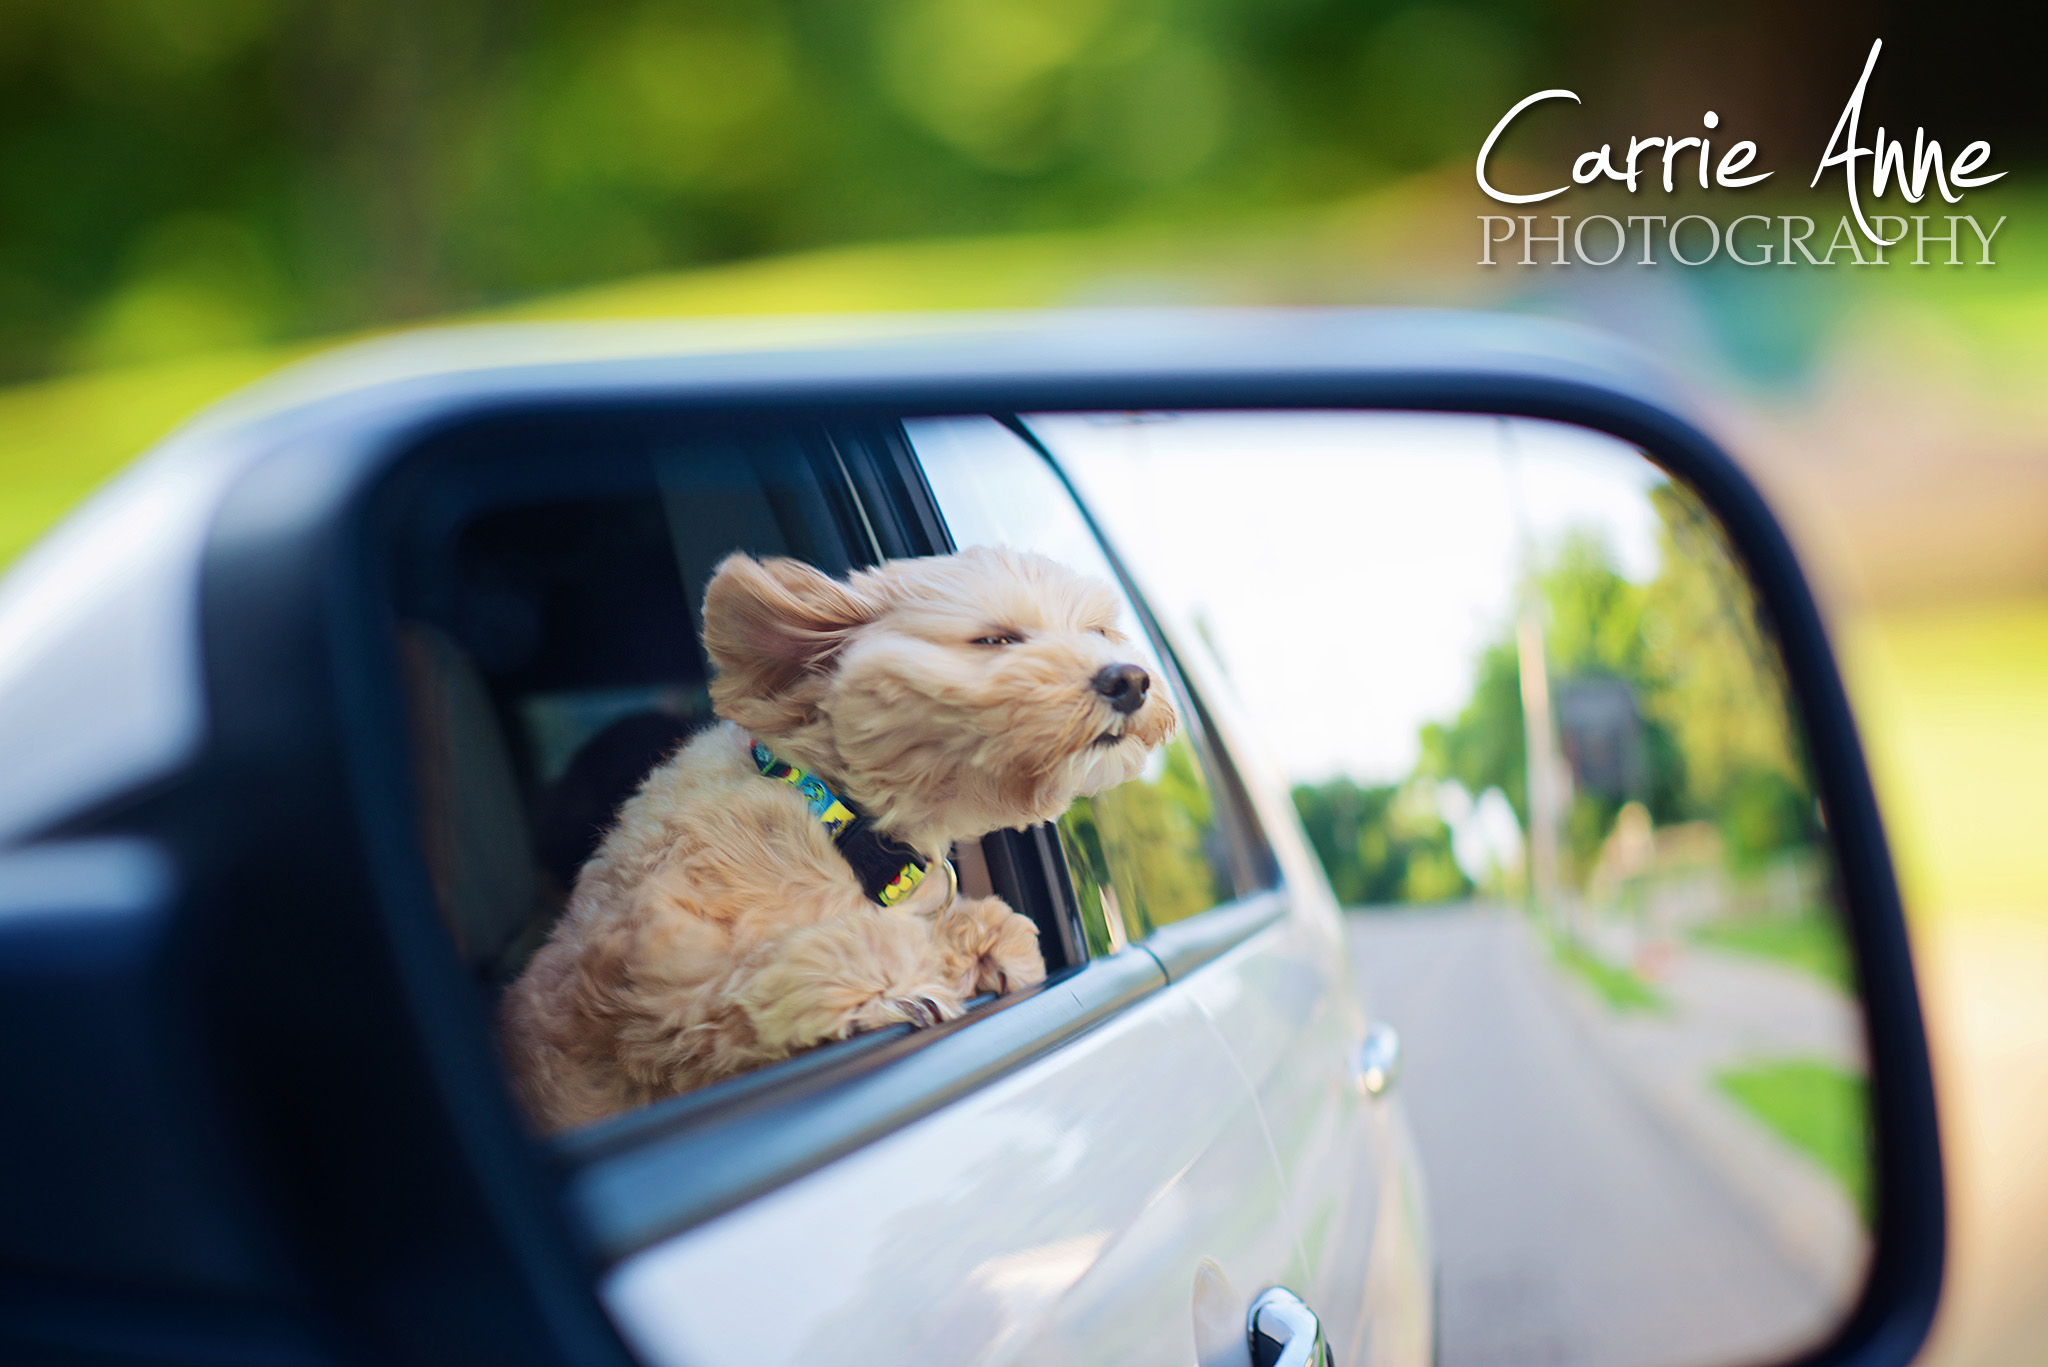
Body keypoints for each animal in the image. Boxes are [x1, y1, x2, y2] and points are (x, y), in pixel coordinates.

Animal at [497, 545, 1179, 1131]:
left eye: (1098, 632)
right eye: (994, 640)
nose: (1130, 679)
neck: (834, 817)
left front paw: (985, 944)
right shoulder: (657, 982)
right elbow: (821, 960)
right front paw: (900, 991)